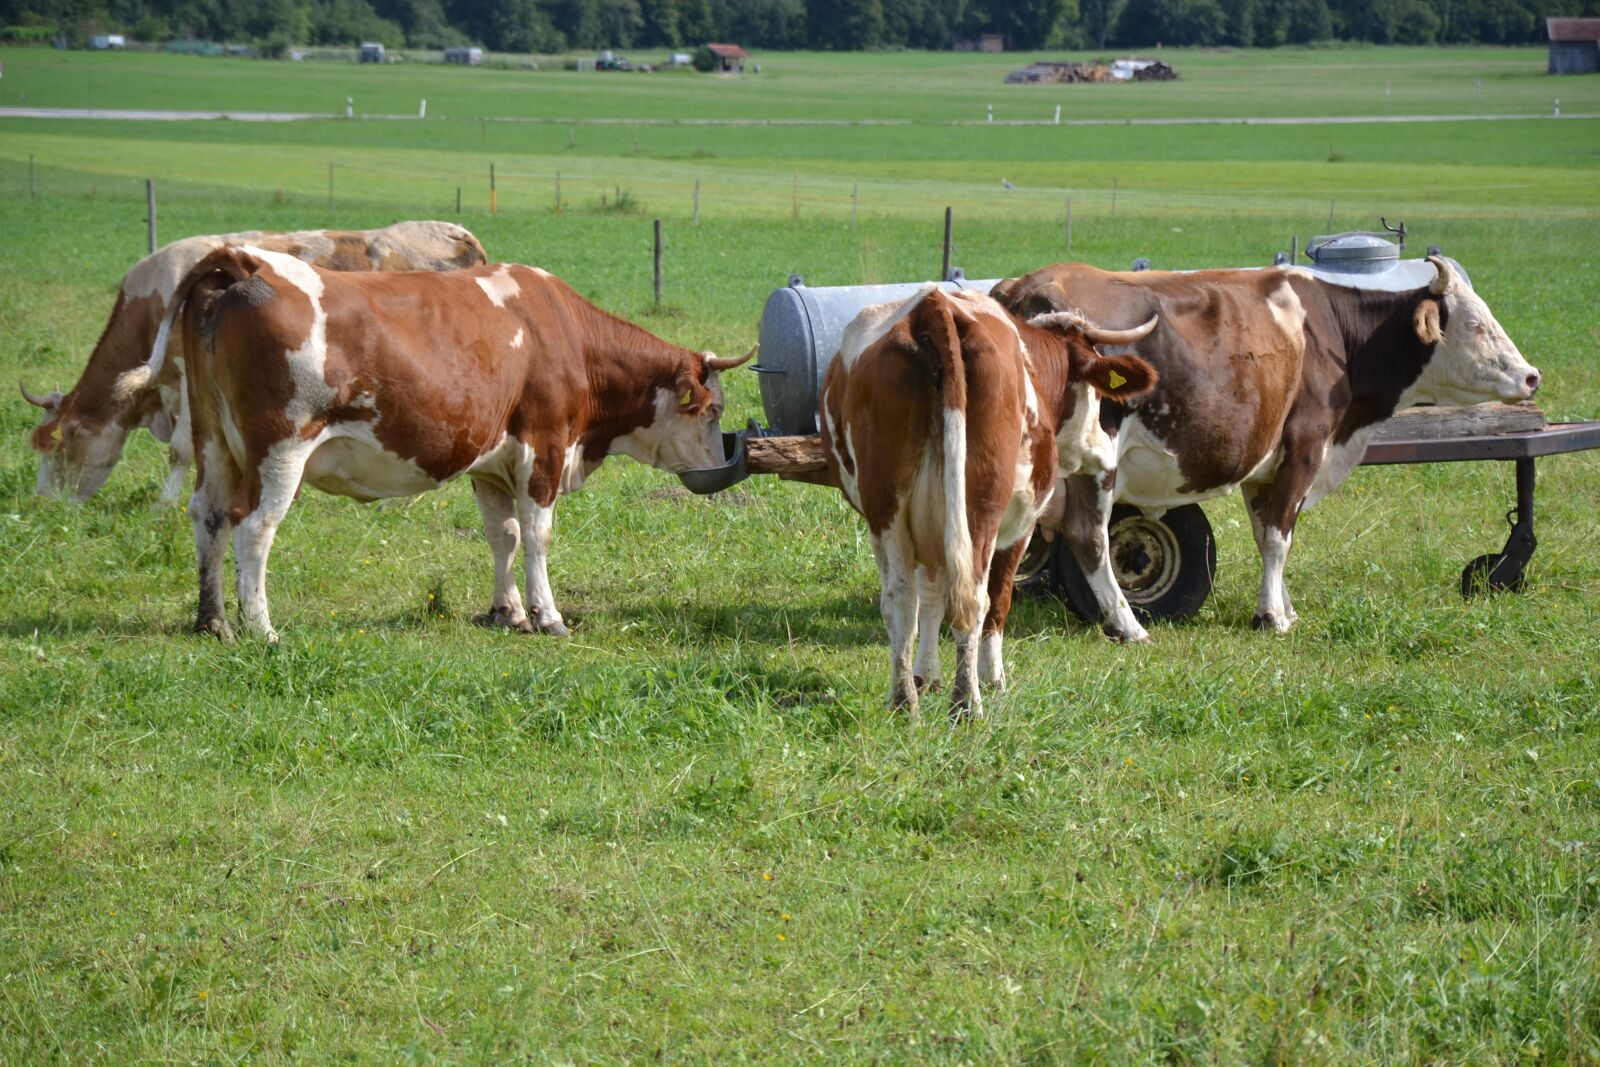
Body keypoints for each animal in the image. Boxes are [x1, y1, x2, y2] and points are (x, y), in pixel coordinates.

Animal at [24, 221, 487, 504]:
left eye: (62, 446)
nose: (45, 503)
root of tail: (457, 232)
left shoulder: (187, 381)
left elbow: (180, 449)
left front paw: (164, 505)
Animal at [113, 246, 752, 643]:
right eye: (713, 408)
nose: (719, 465)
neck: (564, 335)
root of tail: (243, 259)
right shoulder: (544, 448)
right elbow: (538, 536)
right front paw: (547, 616)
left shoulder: (492, 462)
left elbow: (503, 536)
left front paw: (506, 612)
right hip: (280, 452)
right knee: (253, 527)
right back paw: (262, 628)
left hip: (213, 442)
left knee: (209, 517)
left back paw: (213, 621)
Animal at [819, 285, 1157, 720]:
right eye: (1098, 396)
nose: (1104, 451)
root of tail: (934, 306)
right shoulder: (1021, 525)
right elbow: (999, 599)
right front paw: (992, 679)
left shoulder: (929, 527)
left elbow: (931, 597)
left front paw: (925, 675)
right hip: (981, 509)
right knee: (975, 600)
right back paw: (968, 704)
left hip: (887, 511)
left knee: (901, 601)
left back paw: (904, 702)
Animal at [990, 256, 1541, 638]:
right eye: (1476, 325)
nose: (1531, 376)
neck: (1333, 331)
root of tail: (1024, 286)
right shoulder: (1305, 446)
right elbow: (1280, 536)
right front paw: (1272, 616)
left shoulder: (1263, 469)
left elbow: (1267, 535)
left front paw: (1284, 606)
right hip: (1096, 461)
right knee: (1090, 538)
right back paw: (1129, 626)